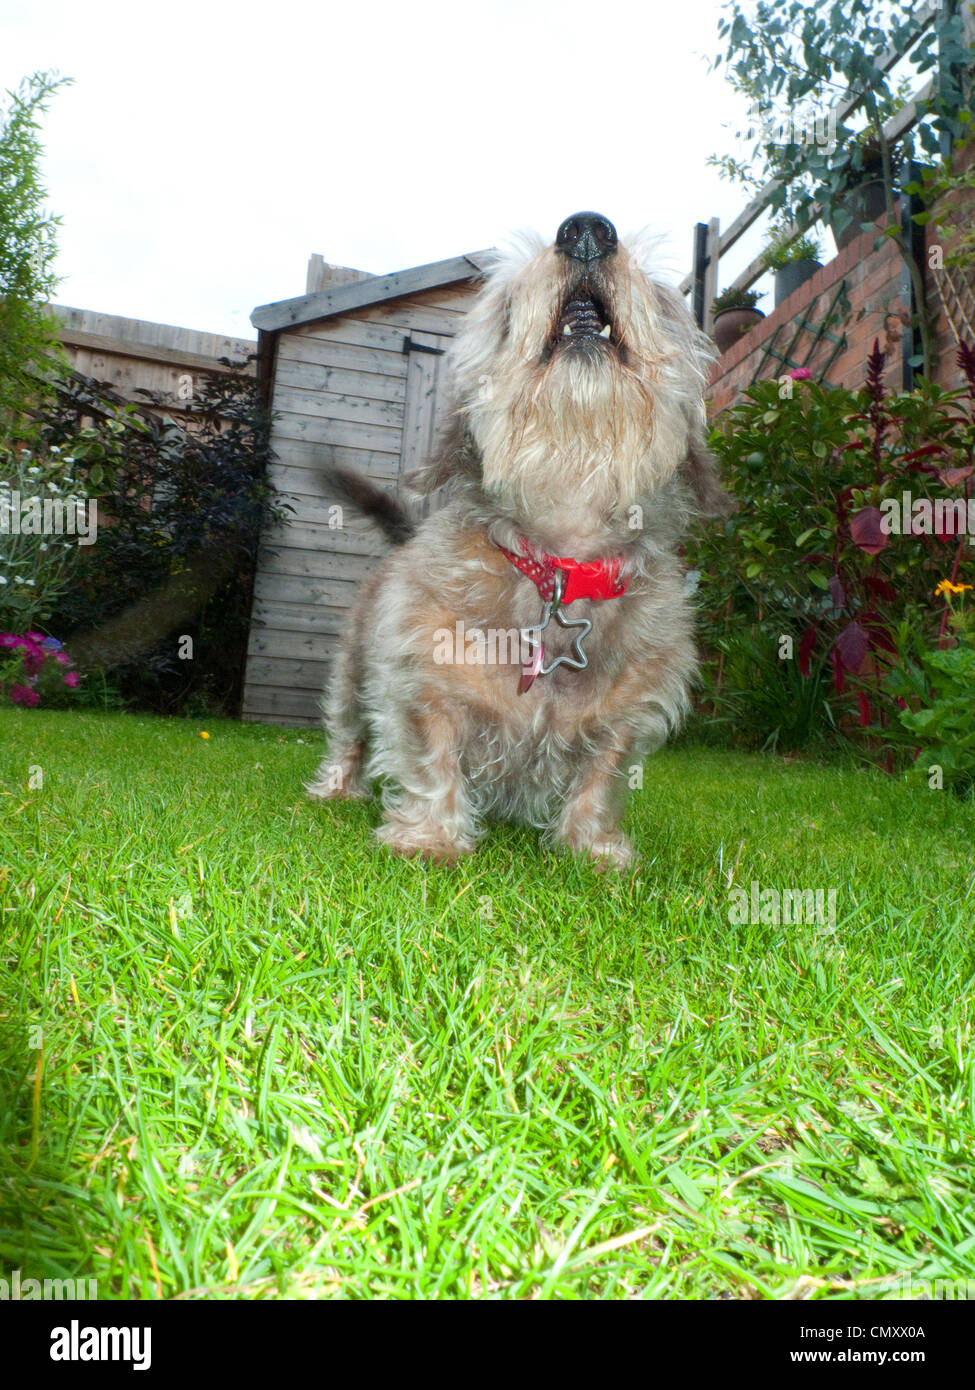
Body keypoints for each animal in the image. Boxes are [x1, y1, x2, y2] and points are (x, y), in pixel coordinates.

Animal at [305, 209, 723, 861]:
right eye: (506, 304)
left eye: (661, 298)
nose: (587, 229)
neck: (560, 559)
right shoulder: (423, 687)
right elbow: (433, 759)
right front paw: (430, 837)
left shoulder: (627, 718)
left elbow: (602, 773)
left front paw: (592, 848)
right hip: (351, 677)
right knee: (347, 734)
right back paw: (336, 789)